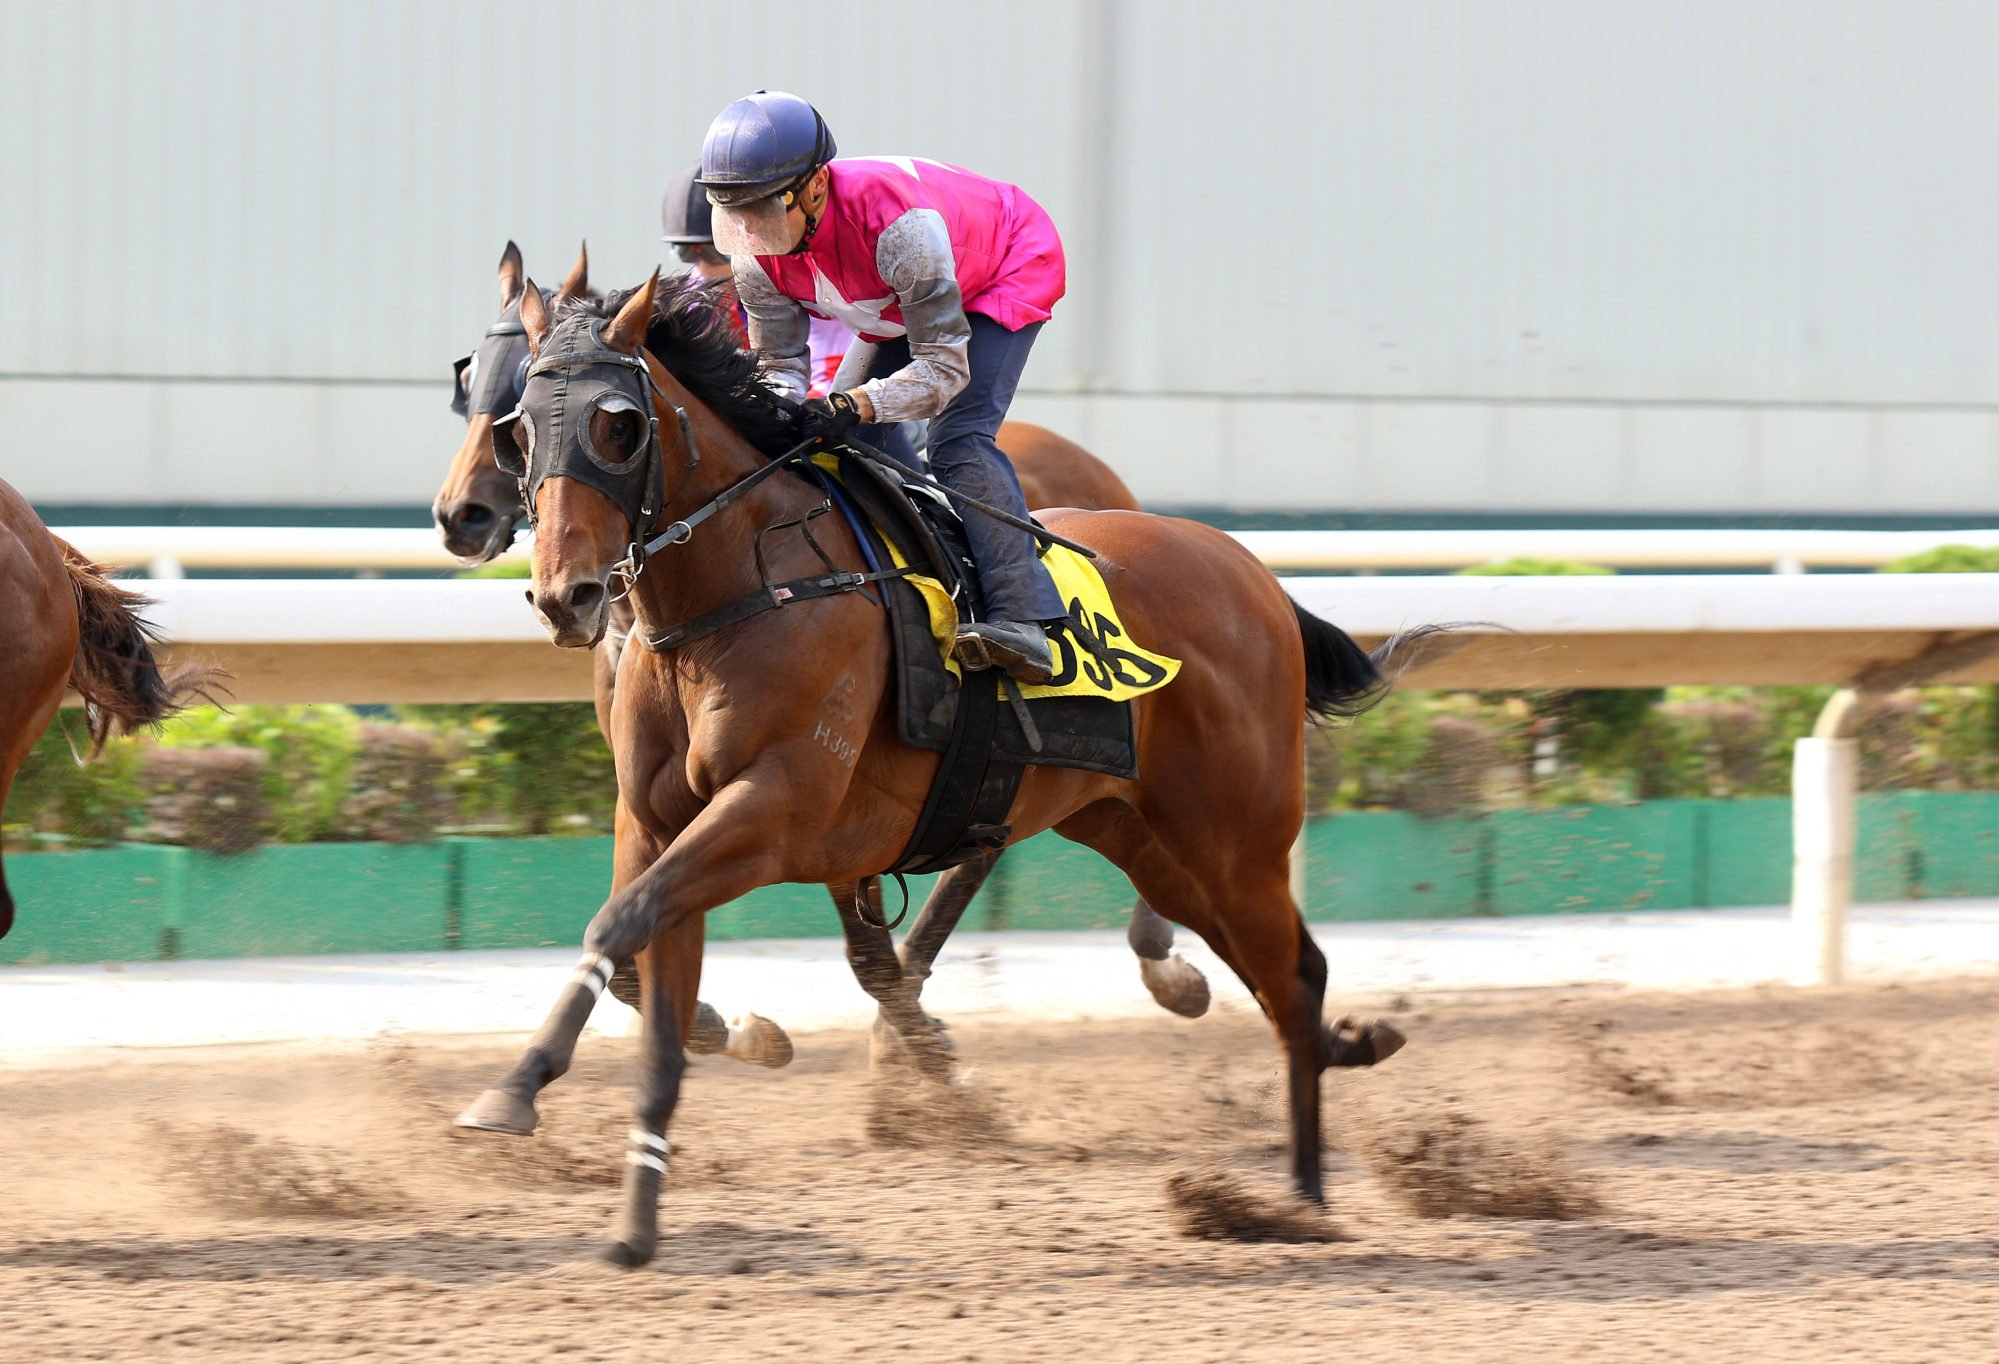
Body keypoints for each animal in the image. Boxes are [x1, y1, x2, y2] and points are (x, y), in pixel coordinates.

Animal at [431, 244, 1207, 1040]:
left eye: (617, 429)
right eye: (501, 412)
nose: (462, 515)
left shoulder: (803, 786)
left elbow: (855, 939)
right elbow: (638, 960)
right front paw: (726, 1025)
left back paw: (1159, 958)